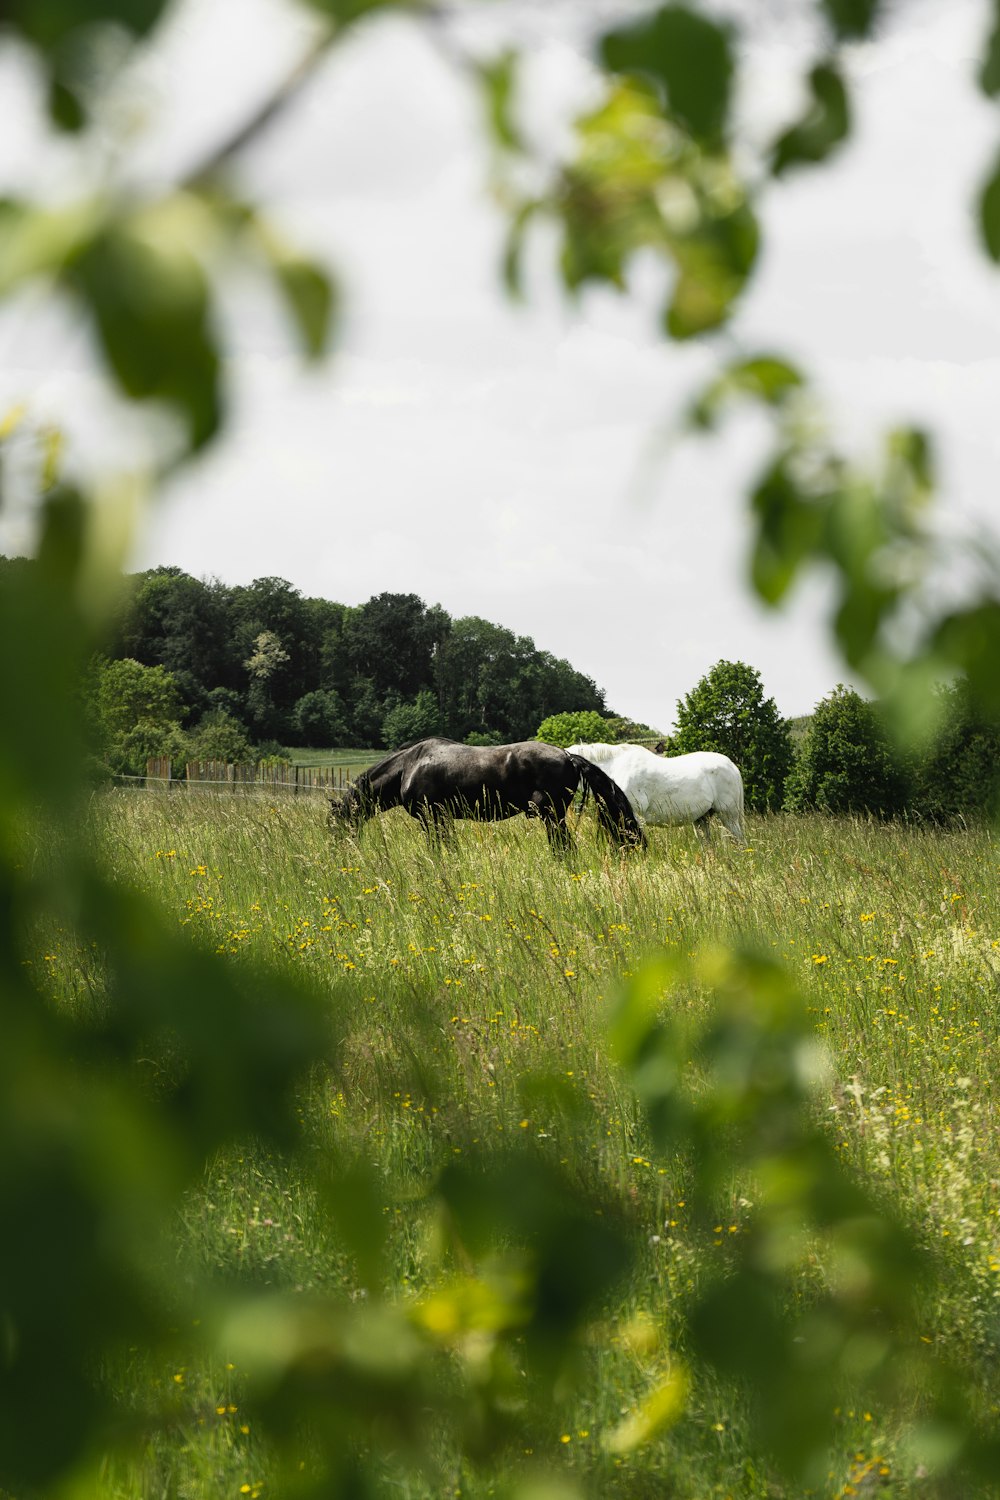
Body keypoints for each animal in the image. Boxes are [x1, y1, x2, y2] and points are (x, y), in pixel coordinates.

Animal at [325, 735, 644, 852]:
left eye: (335, 824)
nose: (340, 852)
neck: (408, 766)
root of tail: (567, 755)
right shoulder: (442, 819)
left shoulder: (431, 818)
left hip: (552, 816)